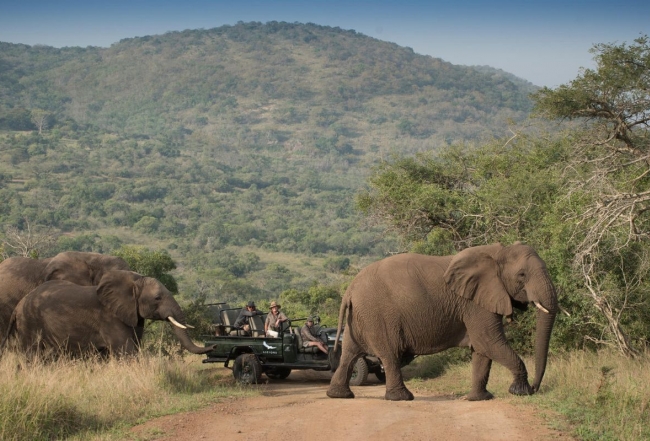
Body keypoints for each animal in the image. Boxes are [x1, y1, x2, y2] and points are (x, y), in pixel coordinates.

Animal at [0, 268, 213, 358]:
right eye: (157, 298)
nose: (212, 346)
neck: (134, 281)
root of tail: (19, 305)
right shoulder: (110, 318)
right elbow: (127, 351)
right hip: (30, 323)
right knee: (32, 355)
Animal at [324, 242, 556, 400]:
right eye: (522, 275)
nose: (535, 388)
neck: (498, 253)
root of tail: (349, 290)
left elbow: (482, 349)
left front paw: (478, 399)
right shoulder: (474, 303)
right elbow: (488, 341)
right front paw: (519, 392)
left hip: (359, 317)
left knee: (349, 353)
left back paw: (339, 395)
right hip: (378, 315)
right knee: (389, 354)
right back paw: (402, 398)